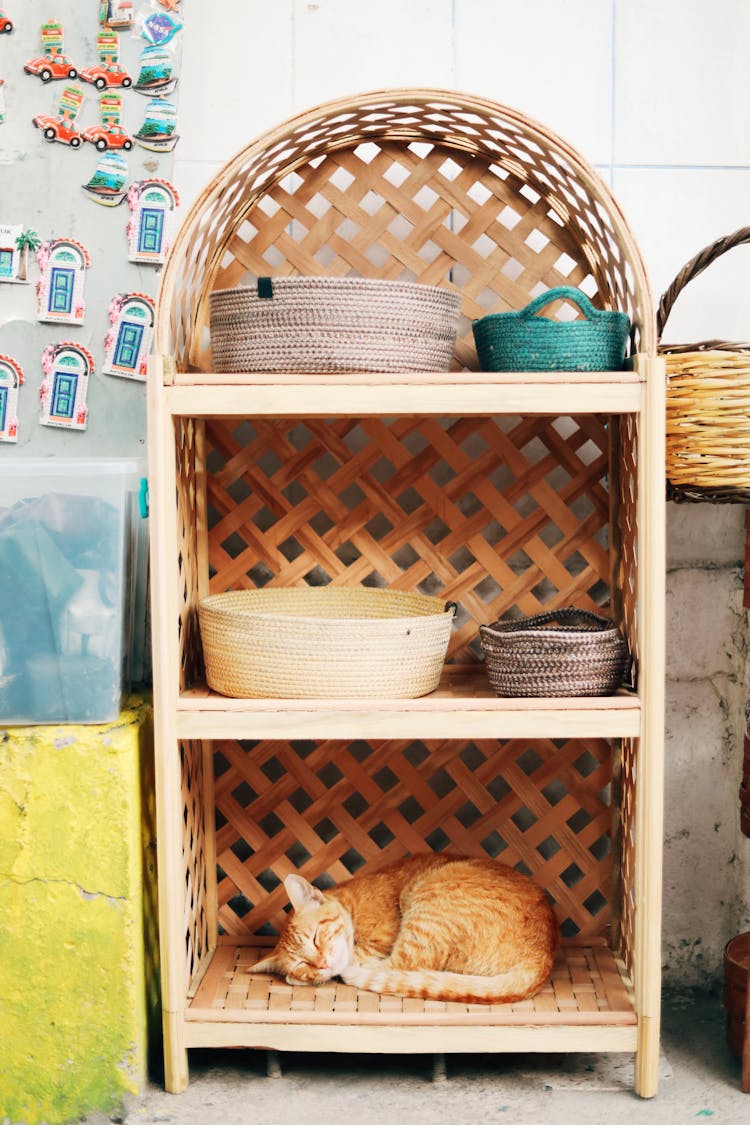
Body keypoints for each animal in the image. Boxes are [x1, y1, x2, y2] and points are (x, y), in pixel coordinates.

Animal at [250, 855, 557, 1008]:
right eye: (302, 962)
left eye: (315, 938)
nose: (321, 964)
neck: (352, 905)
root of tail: (543, 957)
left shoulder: (379, 941)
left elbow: (357, 956)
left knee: (401, 965)